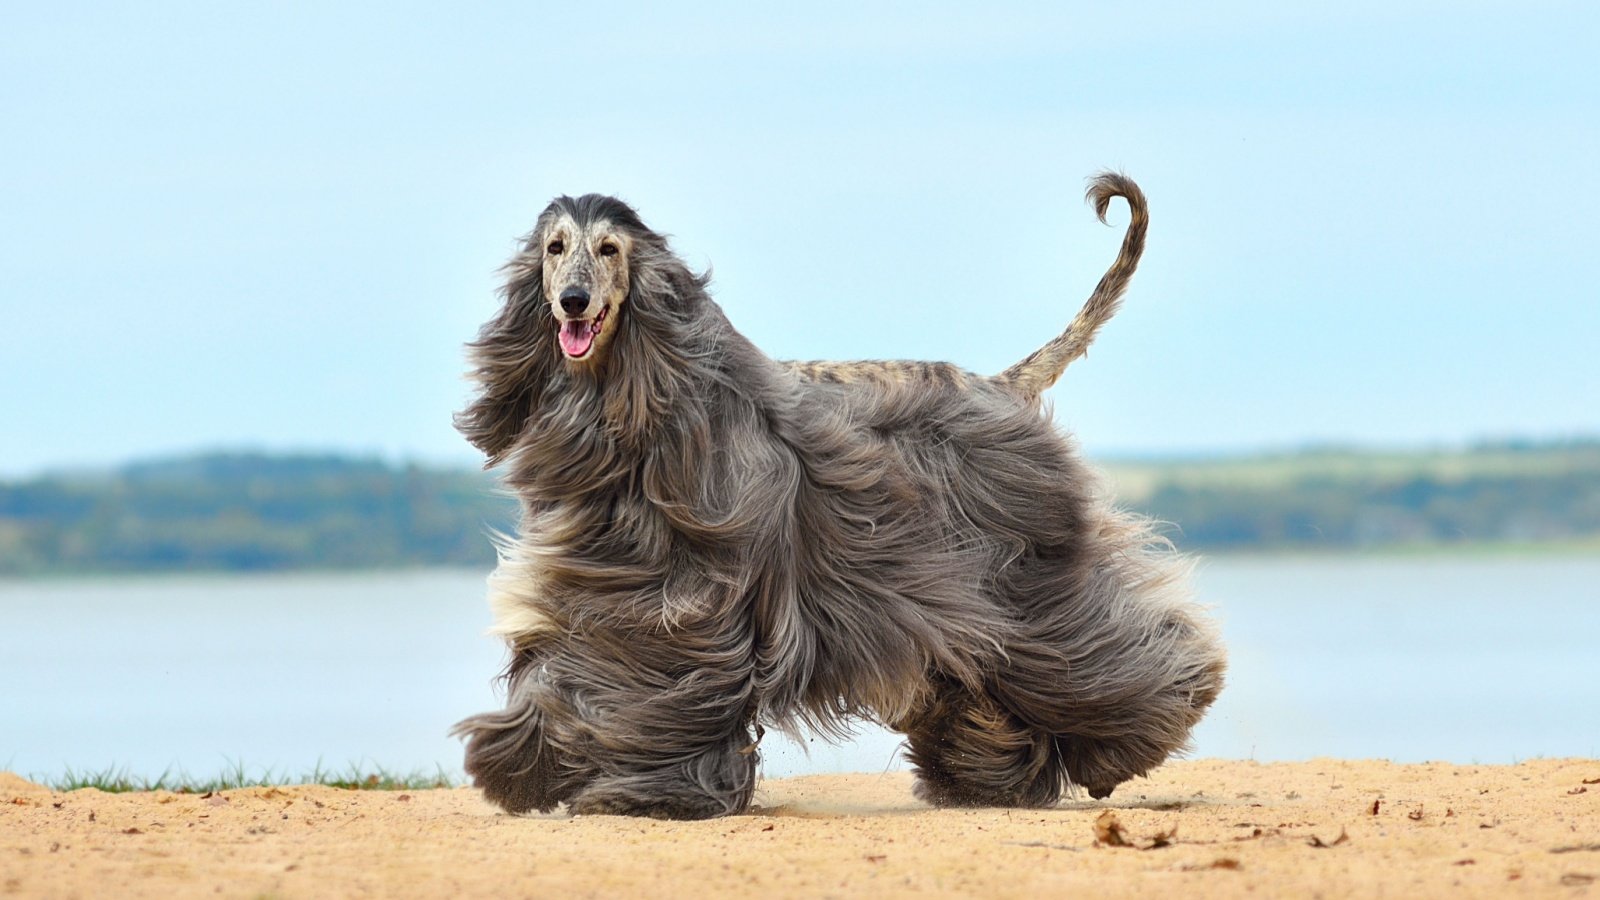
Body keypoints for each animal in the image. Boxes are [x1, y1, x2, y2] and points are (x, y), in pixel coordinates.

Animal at [451, 171, 1222, 816]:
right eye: (555, 248)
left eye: (608, 249)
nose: (573, 301)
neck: (638, 399)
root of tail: (1000, 385)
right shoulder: (611, 580)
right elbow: (561, 658)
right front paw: (532, 765)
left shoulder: (679, 601)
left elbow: (628, 677)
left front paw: (583, 781)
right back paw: (990, 773)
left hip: (1020, 567)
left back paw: (1131, 738)